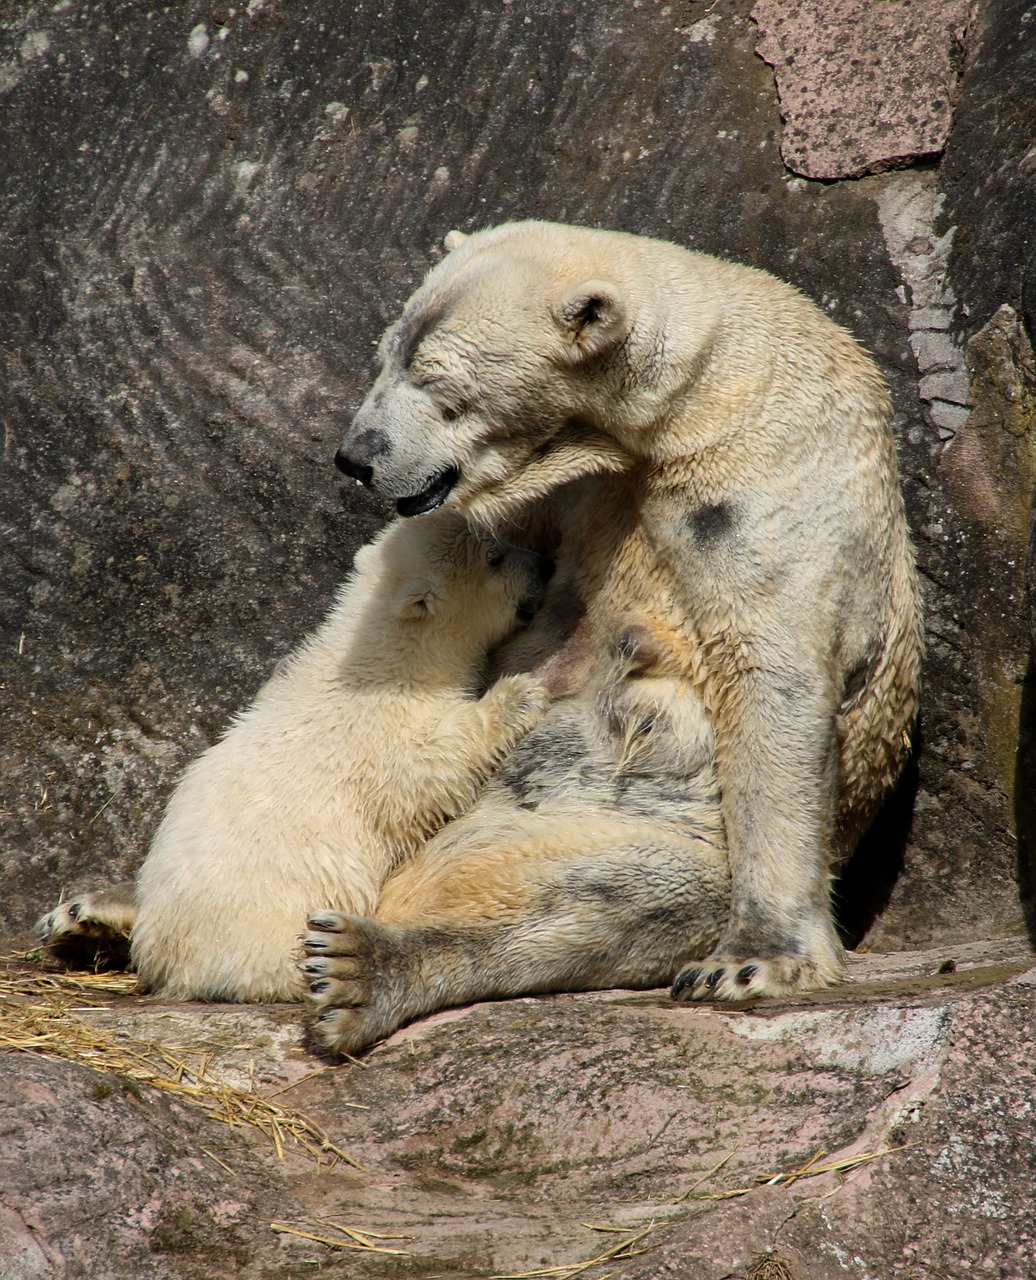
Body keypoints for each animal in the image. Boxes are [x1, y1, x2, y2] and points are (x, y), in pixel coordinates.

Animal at [315, 220, 922, 1039]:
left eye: (438, 379)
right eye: (385, 355)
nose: (357, 456)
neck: (689, 406)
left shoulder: (766, 479)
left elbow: (773, 680)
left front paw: (753, 960)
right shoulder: (572, 496)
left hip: (613, 828)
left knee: (614, 894)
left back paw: (359, 967)